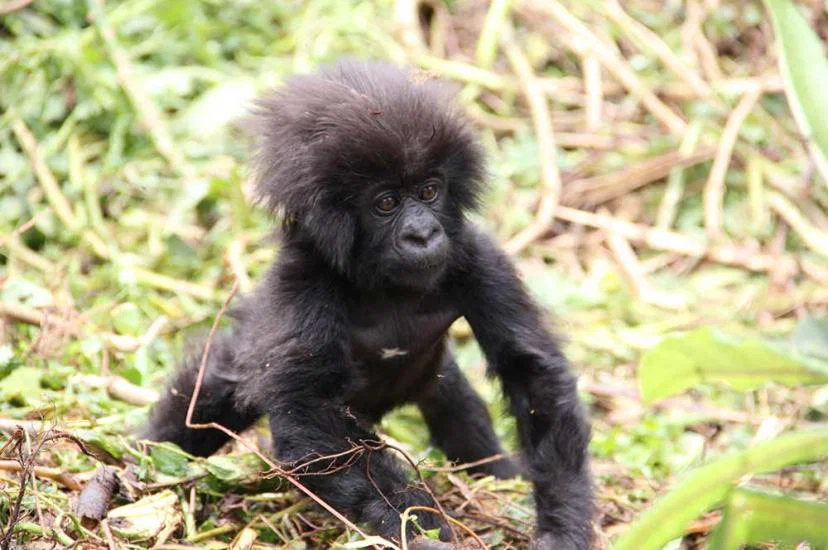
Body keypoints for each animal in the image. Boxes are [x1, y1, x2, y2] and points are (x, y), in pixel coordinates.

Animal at [142, 60, 594, 549]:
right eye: (386, 203)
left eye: (429, 191)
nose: (422, 234)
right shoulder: (305, 281)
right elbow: (313, 418)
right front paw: (419, 526)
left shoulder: (478, 258)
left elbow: (531, 372)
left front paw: (564, 523)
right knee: (204, 398)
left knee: (455, 401)